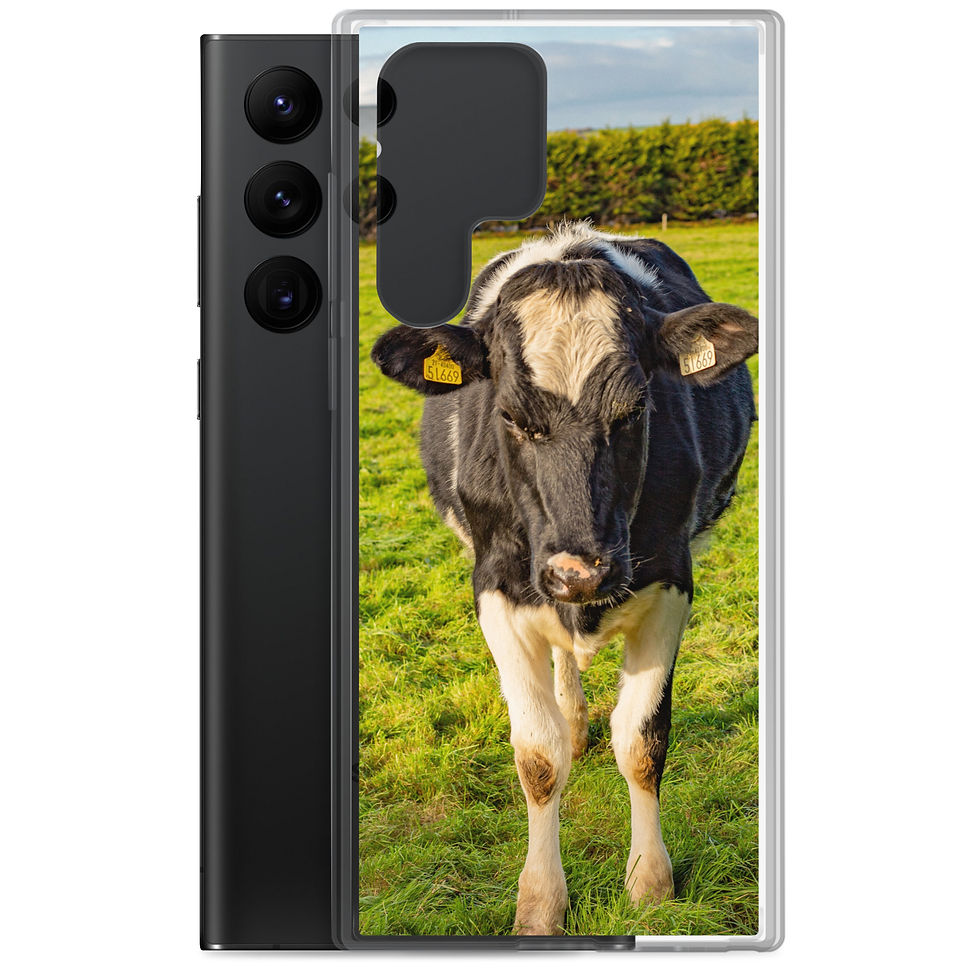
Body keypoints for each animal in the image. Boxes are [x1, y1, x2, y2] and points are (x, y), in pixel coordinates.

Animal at [371, 222, 758, 935]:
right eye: (510, 415)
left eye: (635, 409)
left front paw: (650, 883)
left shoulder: (671, 581)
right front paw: (541, 902)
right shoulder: (496, 588)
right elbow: (539, 754)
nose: (581, 570)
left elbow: (641, 739)